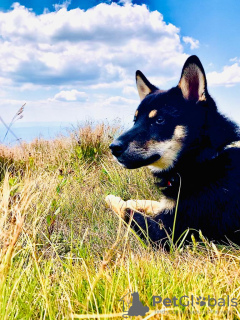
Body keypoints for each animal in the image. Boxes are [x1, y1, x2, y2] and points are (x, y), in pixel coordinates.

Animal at [106, 55, 240, 246]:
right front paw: (133, 200)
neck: (203, 161)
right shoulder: (169, 209)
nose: (113, 147)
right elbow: (154, 203)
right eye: (135, 120)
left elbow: (125, 210)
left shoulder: (167, 235)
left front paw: (114, 199)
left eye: (159, 120)